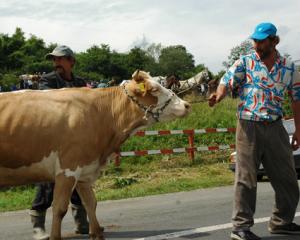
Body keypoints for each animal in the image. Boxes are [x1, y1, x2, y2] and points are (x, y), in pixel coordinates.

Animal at [0, 70, 191, 240]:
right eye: (155, 89)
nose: (186, 105)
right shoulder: (67, 170)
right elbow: (59, 208)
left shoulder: (85, 170)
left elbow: (91, 203)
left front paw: (96, 232)